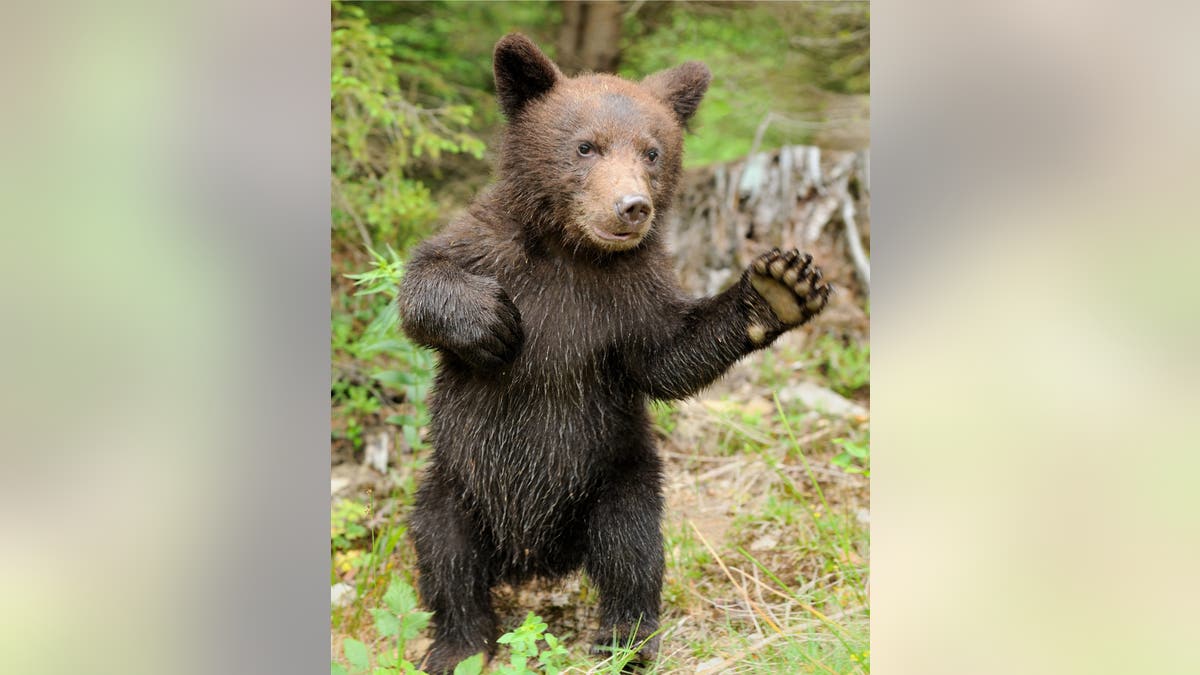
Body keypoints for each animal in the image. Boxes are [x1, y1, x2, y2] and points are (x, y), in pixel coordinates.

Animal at [397, 34, 832, 674]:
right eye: (585, 146)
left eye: (652, 152)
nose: (632, 206)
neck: (574, 251)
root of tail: (534, 559)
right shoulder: (488, 245)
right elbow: (422, 285)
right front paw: (492, 322)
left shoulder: (630, 296)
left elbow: (667, 358)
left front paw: (780, 286)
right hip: (457, 482)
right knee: (446, 553)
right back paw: (459, 644)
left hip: (615, 475)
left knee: (631, 551)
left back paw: (624, 643)